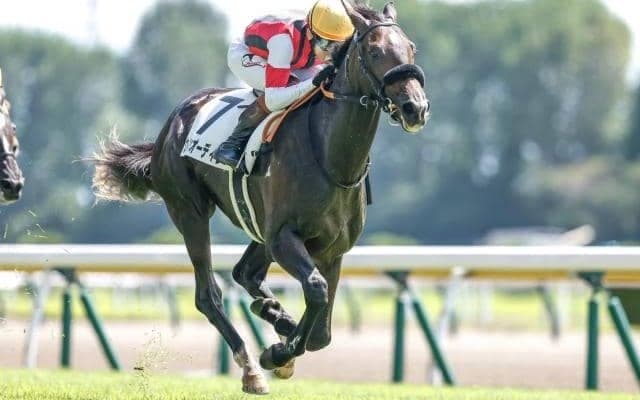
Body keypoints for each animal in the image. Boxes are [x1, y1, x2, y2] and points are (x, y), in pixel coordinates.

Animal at [91, 1, 428, 394]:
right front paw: (277, 355)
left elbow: (322, 333)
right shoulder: (283, 237)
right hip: (190, 212)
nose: (415, 108)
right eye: (374, 51)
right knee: (208, 295)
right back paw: (252, 367)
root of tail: (170, 125)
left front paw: (283, 335)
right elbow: (315, 290)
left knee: (245, 273)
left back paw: (274, 315)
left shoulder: (332, 250)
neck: (330, 156)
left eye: (411, 48)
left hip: (259, 228)